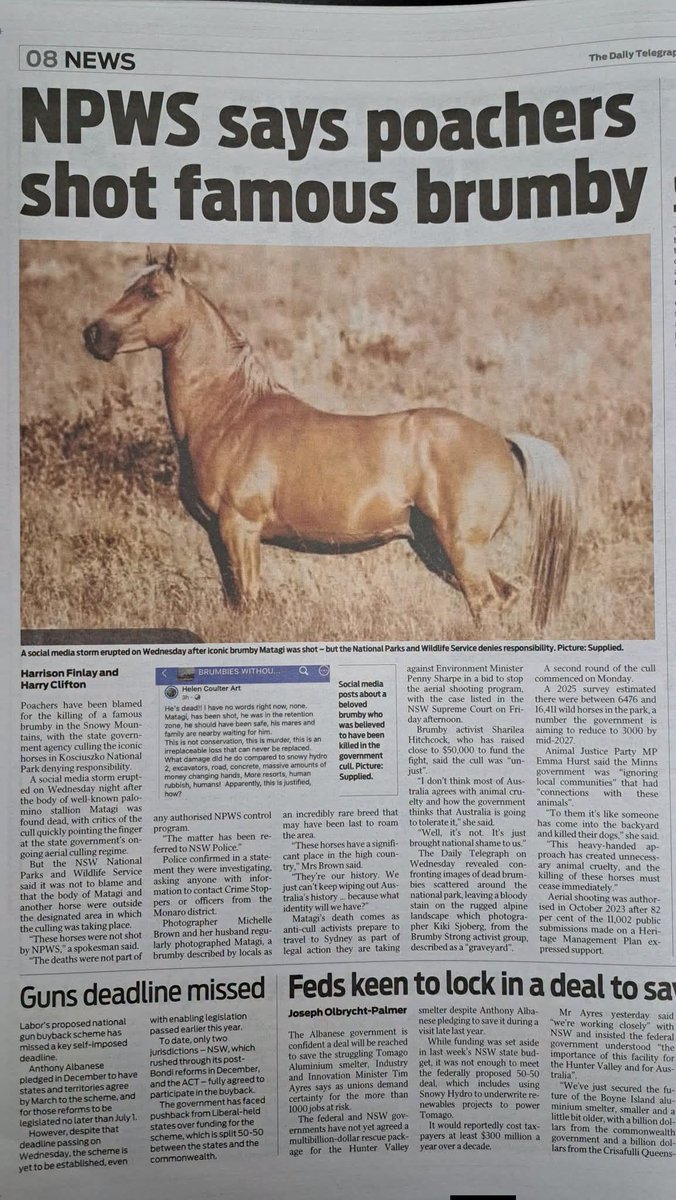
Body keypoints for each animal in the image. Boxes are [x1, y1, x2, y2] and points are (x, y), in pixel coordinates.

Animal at [83, 246, 577, 628]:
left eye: (151, 293)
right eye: (128, 288)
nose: (94, 334)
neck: (230, 412)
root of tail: (501, 440)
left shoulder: (240, 529)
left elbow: (248, 604)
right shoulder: (216, 536)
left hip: (459, 548)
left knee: (486, 602)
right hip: (435, 548)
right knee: (503, 598)